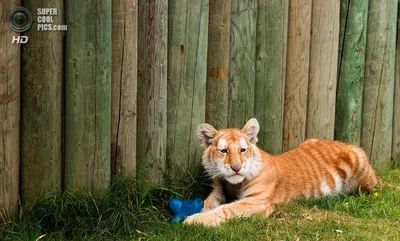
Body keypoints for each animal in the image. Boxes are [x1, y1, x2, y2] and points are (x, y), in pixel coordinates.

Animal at [184, 117, 382, 227]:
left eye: (242, 150)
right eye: (224, 151)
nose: (236, 167)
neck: (233, 184)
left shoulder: (256, 201)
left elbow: (225, 210)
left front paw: (192, 221)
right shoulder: (217, 193)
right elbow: (208, 204)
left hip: (359, 161)